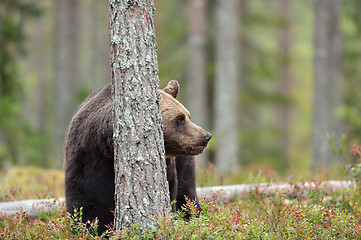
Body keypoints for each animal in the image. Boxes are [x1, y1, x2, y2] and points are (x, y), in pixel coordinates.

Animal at [63, 80, 211, 234]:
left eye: (188, 116)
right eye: (180, 119)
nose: (206, 136)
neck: (109, 150)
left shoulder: (168, 168)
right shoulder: (88, 162)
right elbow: (88, 205)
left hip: (183, 163)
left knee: (186, 192)